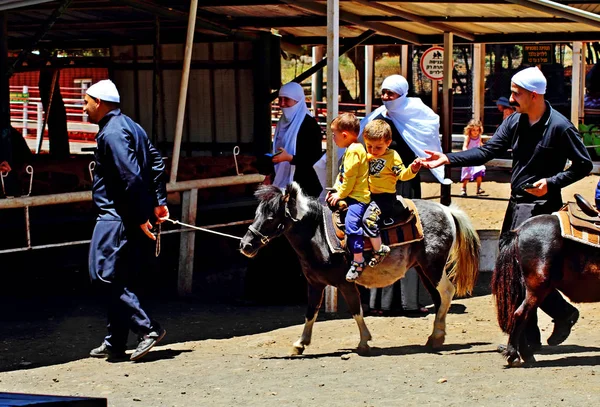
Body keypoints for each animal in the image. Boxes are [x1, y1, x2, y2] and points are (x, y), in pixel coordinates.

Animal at [241, 183, 480, 356]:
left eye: (270, 217)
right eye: (256, 213)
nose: (245, 245)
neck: (318, 235)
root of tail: (446, 210)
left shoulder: (344, 283)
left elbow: (356, 310)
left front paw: (364, 342)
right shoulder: (315, 284)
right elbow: (311, 312)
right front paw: (300, 343)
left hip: (434, 266)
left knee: (447, 293)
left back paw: (436, 336)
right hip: (423, 269)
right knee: (439, 299)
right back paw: (435, 338)